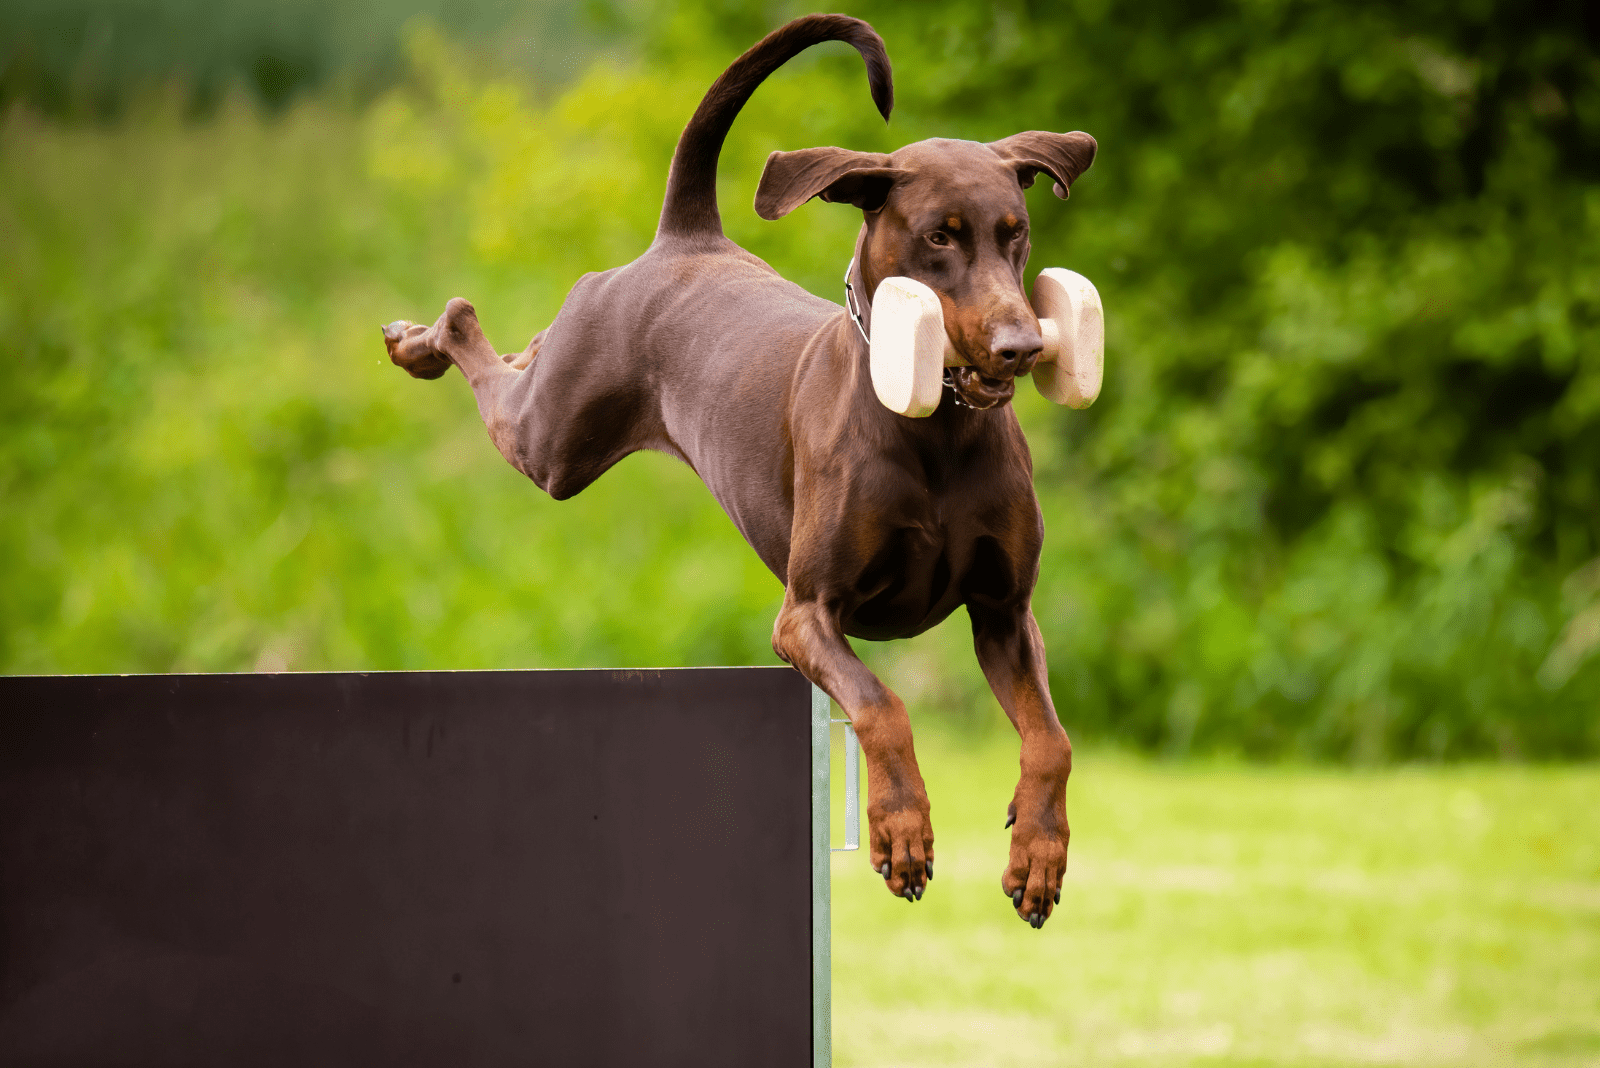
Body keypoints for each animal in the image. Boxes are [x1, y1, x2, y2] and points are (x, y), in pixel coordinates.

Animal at [380, 14, 1094, 927]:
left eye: (1015, 232)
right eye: (940, 235)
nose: (1022, 346)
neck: (936, 431)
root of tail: (687, 237)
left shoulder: (1003, 612)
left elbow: (1052, 740)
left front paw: (1037, 855)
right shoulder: (807, 614)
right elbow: (881, 705)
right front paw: (901, 831)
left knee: (522, 354)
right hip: (553, 443)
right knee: (474, 338)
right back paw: (419, 339)